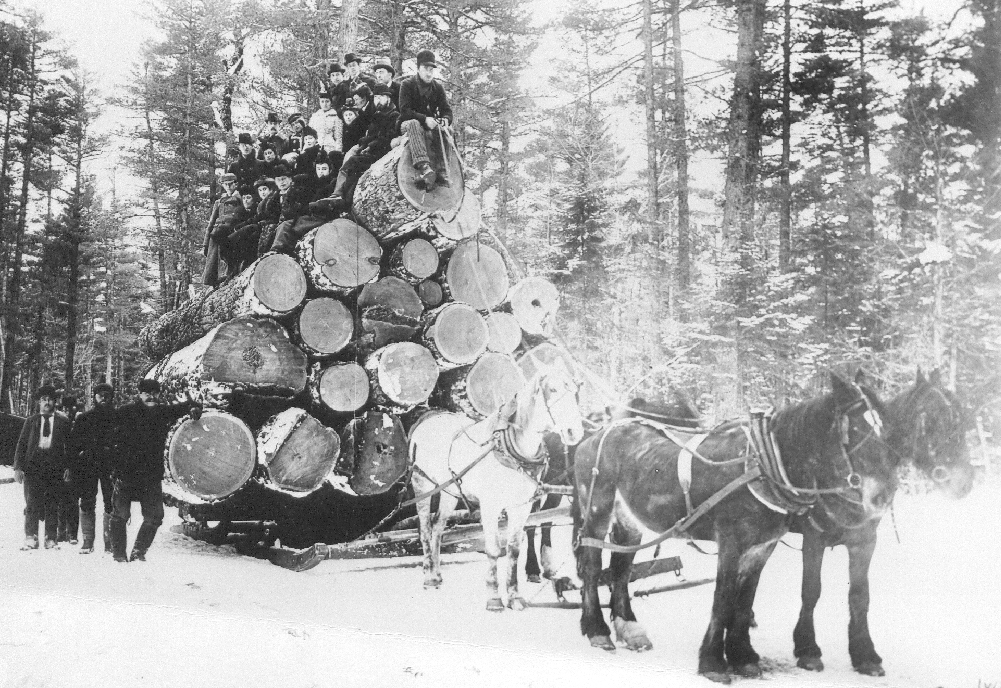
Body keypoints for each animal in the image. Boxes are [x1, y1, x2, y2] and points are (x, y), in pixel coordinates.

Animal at [406, 362, 584, 612]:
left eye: (576, 391)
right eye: (553, 389)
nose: (574, 432)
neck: (511, 448)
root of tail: (427, 420)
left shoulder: (521, 507)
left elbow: (513, 549)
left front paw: (514, 596)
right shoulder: (490, 506)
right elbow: (492, 549)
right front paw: (494, 597)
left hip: (450, 492)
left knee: (437, 527)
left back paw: (438, 574)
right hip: (422, 485)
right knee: (424, 529)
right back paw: (429, 576)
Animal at [576, 374, 896, 684]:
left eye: (886, 429)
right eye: (857, 430)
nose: (884, 496)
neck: (763, 465)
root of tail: (594, 435)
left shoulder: (762, 546)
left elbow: (744, 601)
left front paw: (743, 656)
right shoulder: (732, 542)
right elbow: (724, 598)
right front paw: (713, 662)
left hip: (629, 522)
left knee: (621, 569)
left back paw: (629, 628)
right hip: (597, 512)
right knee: (592, 566)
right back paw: (597, 630)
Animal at [784, 368, 972, 676]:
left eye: (961, 417)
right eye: (931, 418)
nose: (964, 482)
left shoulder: (864, 541)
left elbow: (860, 596)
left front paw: (865, 654)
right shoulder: (814, 538)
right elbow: (811, 591)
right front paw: (807, 649)